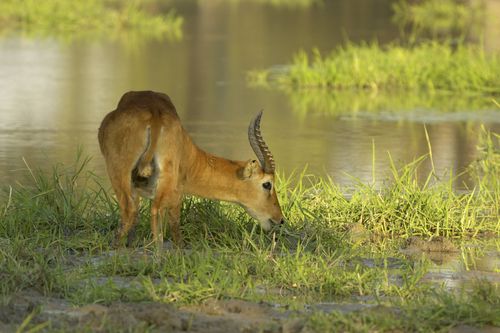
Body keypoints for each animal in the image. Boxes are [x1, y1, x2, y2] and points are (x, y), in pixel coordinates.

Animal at [97, 89, 286, 248]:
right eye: (267, 184)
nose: (280, 219)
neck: (192, 159)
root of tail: (154, 115)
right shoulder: (176, 193)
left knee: (138, 211)